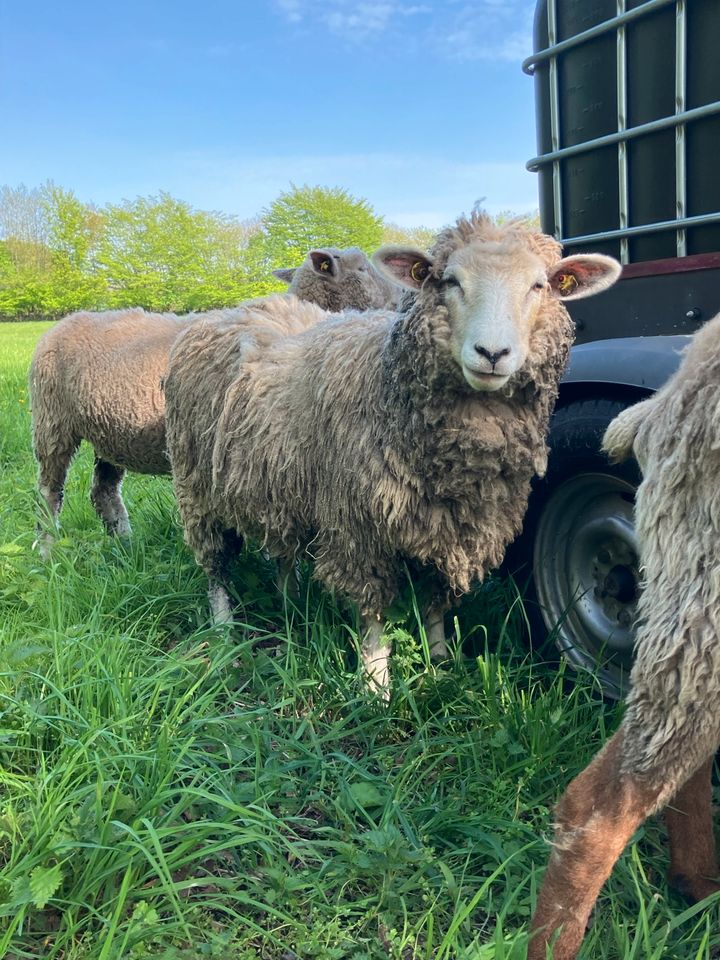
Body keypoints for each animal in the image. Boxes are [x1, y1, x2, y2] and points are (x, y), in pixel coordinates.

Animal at [29, 248, 400, 548]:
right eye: (362, 267)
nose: (400, 298)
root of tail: (61, 323)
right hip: (51, 422)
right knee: (49, 491)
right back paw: (47, 550)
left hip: (109, 433)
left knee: (102, 491)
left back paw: (124, 546)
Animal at [163, 210, 620, 692]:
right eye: (449, 281)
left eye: (539, 285)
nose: (493, 353)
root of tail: (234, 309)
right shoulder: (359, 526)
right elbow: (373, 612)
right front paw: (375, 682)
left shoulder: (456, 525)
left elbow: (438, 599)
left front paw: (441, 663)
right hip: (196, 490)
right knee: (215, 565)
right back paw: (224, 630)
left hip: (277, 484)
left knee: (283, 551)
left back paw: (291, 605)